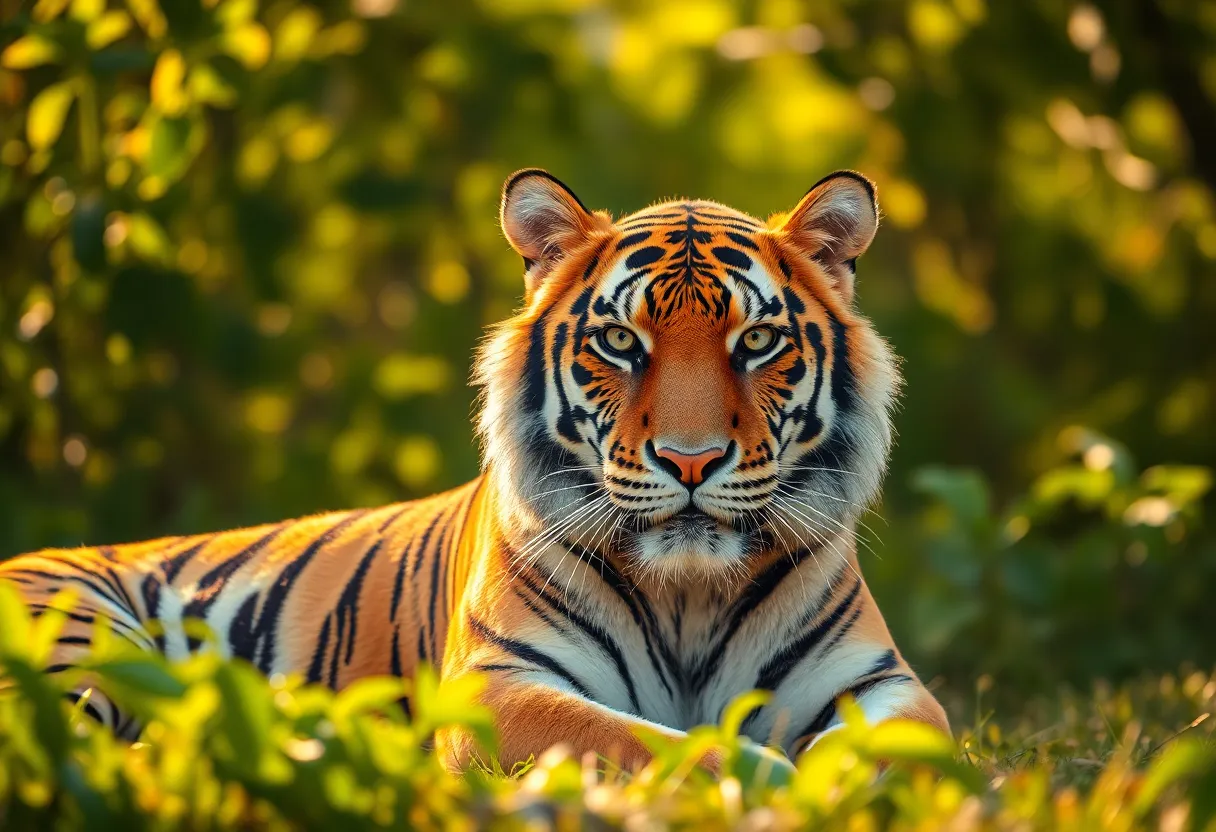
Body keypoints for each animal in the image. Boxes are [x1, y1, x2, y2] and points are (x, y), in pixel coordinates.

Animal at [0, 168, 949, 772]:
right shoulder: (498, 688)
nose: (691, 460)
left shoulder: (879, 683)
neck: (688, 595)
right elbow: (644, 741)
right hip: (86, 646)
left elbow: (905, 751)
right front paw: (763, 778)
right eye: (620, 341)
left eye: (756, 342)